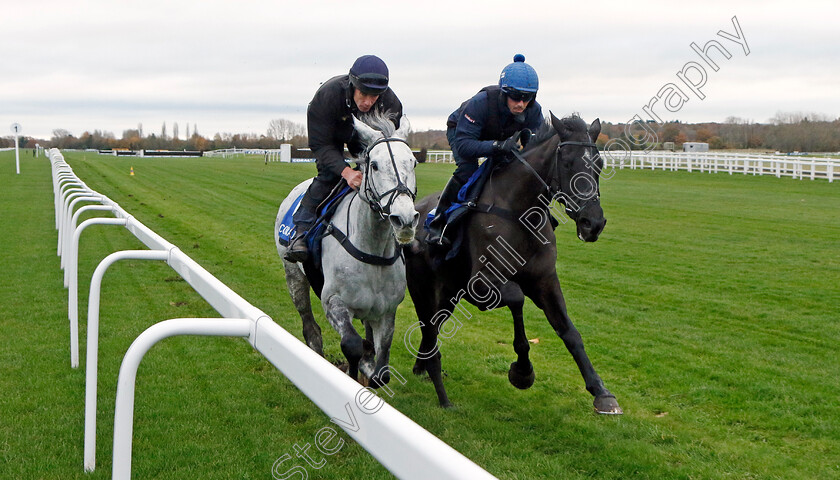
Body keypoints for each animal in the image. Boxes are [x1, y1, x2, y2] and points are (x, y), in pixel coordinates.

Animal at [278, 114, 418, 388]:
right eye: (374, 165)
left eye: (413, 162)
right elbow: (353, 345)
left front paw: (370, 368)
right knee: (311, 329)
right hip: (294, 276)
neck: (372, 249)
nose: (405, 219)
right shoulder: (333, 302)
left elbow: (380, 369)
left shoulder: (387, 310)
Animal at [406, 112, 624, 412]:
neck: (521, 216)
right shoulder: (482, 286)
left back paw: (422, 367)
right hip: (422, 287)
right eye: (568, 163)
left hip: (449, 292)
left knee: (433, 327)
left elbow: (570, 332)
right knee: (428, 326)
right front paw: (522, 371)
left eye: (600, 164)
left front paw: (601, 391)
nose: (593, 223)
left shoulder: (545, 281)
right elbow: (517, 298)